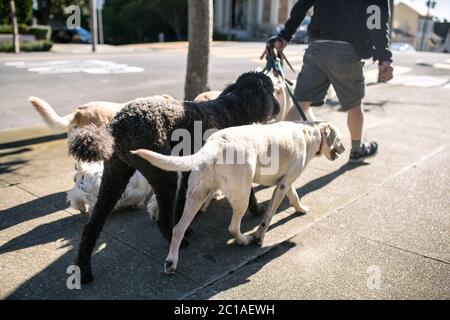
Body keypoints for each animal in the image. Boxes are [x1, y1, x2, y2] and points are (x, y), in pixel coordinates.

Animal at [68, 72, 280, 282]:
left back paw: (83, 269)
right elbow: (249, 192)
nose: (278, 107)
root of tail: (117, 124)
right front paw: (256, 210)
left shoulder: (188, 169)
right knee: (162, 217)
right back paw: (175, 239)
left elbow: (181, 201)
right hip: (163, 175)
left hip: (114, 178)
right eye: (272, 90)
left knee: (91, 227)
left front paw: (185, 222)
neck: (234, 106)